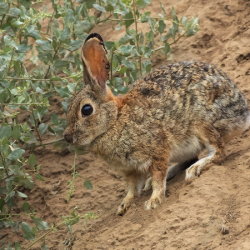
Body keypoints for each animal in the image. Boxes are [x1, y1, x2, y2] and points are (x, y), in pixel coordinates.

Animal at [63, 32, 249, 215]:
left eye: (86, 109)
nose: (67, 137)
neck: (115, 120)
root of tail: (243, 112)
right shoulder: (129, 170)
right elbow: (132, 188)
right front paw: (124, 206)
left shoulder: (157, 150)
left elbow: (158, 177)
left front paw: (154, 201)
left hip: (202, 124)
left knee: (219, 152)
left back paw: (194, 169)